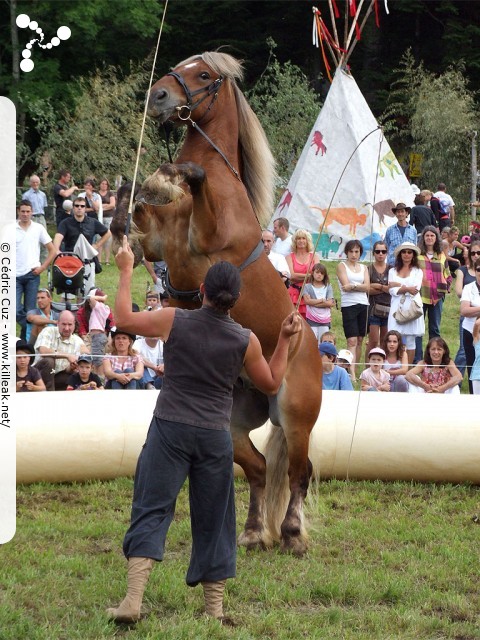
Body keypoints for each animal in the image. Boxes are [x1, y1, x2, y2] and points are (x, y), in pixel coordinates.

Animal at [111, 52, 322, 556]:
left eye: (203, 74)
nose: (158, 96)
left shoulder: (210, 240)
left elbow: (195, 173)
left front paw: (166, 176)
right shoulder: (155, 245)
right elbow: (134, 221)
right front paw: (137, 188)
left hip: (296, 419)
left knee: (299, 473)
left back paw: (291, 534)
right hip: (232, 424)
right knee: (261, 467)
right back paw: (252, 532)